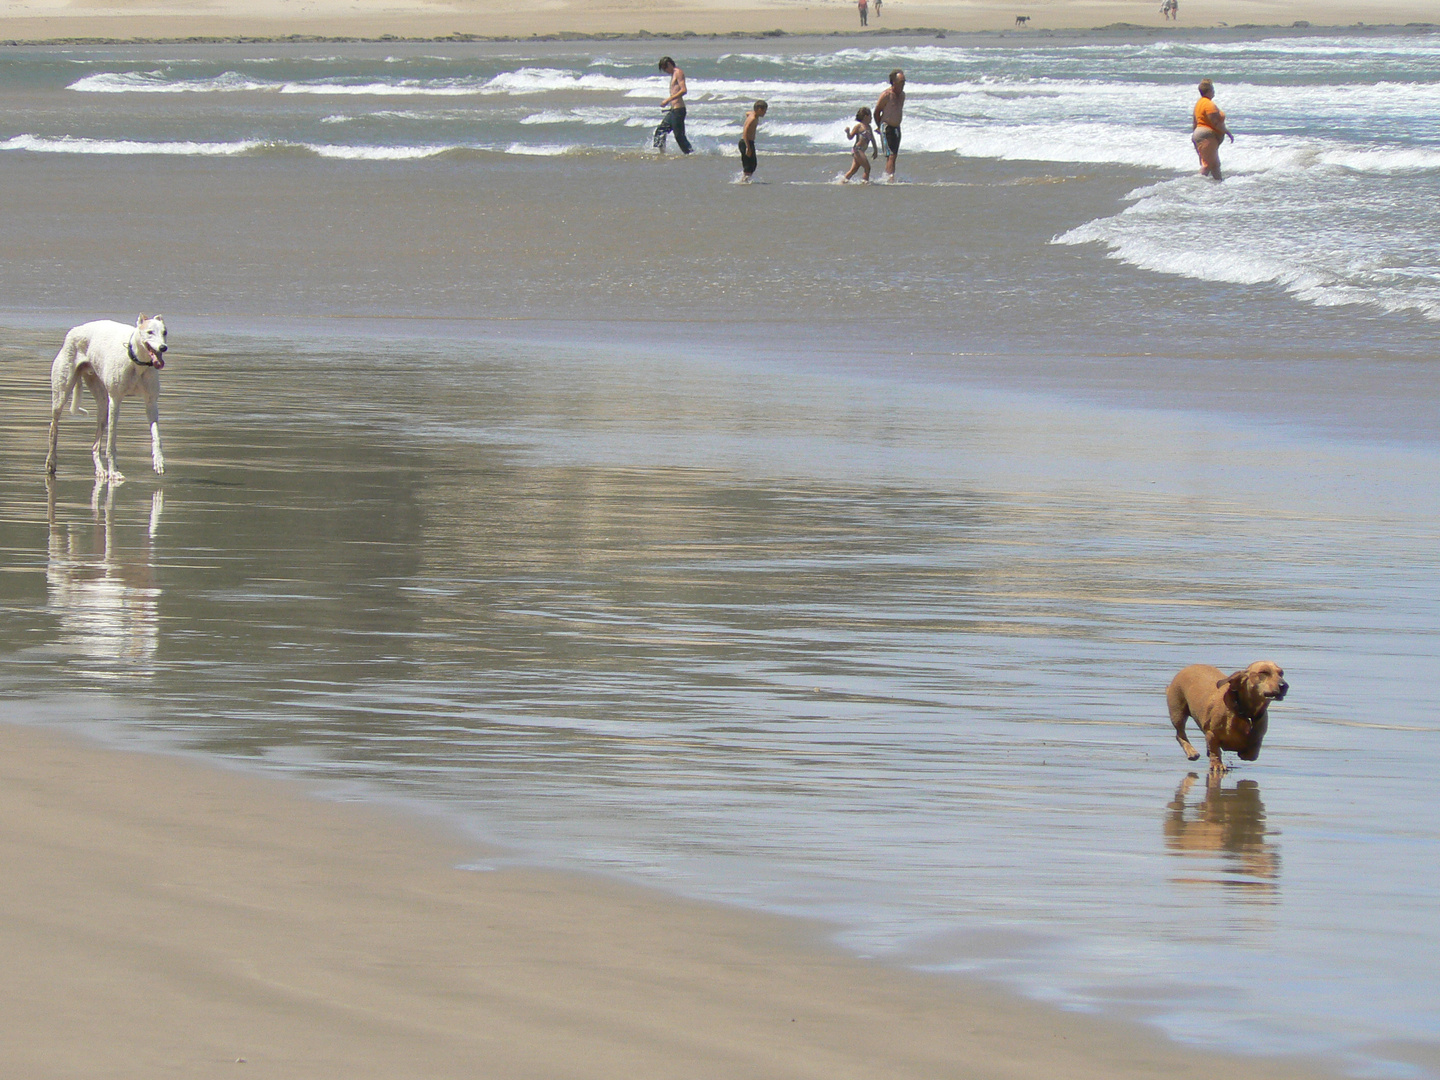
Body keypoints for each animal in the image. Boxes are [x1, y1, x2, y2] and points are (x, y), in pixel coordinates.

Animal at [47, 312, 167, 480]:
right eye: (150, 332)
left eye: (164, 332)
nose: (163, 347)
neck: (135, 362)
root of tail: (75, 330)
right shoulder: (115, 401)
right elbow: (111, 442)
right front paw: (114, 471)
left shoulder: (151, 402)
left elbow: (157, 436)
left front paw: (159, 462)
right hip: (61, 394)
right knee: (54, 427)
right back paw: (51, 462)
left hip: (102, 404)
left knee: (95, 444)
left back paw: (100, 470)